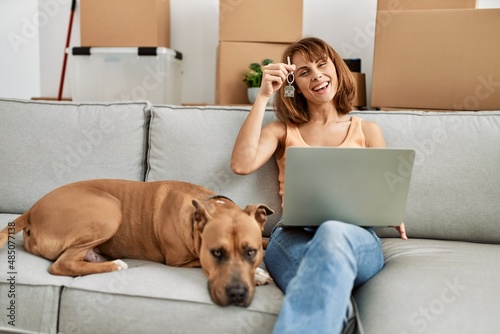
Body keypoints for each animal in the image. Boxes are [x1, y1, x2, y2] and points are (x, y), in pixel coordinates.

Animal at [0, 179, 274, 306]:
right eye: (216, 253)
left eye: (251, 252)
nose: (237, 293)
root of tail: (31, 211)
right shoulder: (180, 260)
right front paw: (260, 275)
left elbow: (266, 238)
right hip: (109, 210)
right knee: (61, 265)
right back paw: (115, 265)